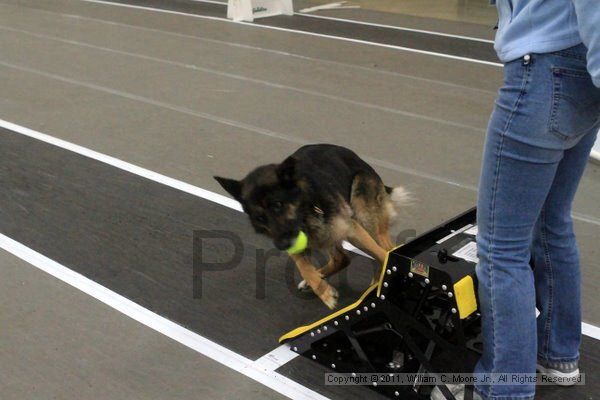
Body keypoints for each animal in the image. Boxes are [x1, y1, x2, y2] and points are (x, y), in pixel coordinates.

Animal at [217, 144, 412, 310]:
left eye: (278, 205)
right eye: (259, 217)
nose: (282, 246)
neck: (305, 212)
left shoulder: (351, 229)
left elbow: (383, 256)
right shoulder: (295, 245)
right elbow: (305, 269)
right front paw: (323, 291)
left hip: (364, 217)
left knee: (386, 248)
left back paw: (377, 279)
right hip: (331, 233)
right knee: (342, 258)